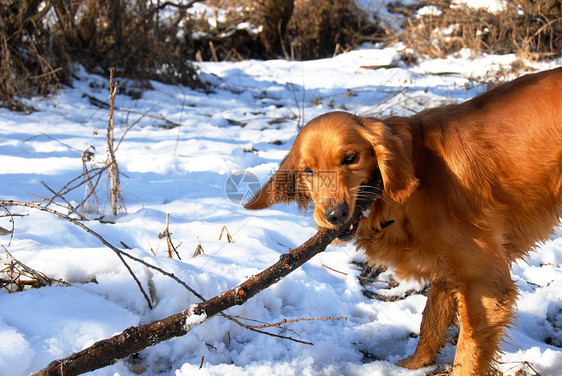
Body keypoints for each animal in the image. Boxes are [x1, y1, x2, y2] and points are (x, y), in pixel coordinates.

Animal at [244, 67, 560, 376]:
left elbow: (466, 356)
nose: (334, 215)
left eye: (350, 158)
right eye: (308, 171)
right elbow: (431, 320)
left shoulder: (486, 284)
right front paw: (412, 366)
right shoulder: (450, 267)